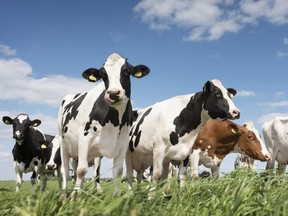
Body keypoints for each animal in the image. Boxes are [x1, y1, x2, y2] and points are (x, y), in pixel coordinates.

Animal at [57, 53, 150, 195]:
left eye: (126, 71)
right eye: (103, 74)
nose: (113, 93)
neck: (115, 121)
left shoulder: (122, 143)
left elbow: (117, 171)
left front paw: (115, 195)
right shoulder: (84, 137)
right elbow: (81, 170)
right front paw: (76, 196)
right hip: (64, 144)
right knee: (66, 171)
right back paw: (65, 194)